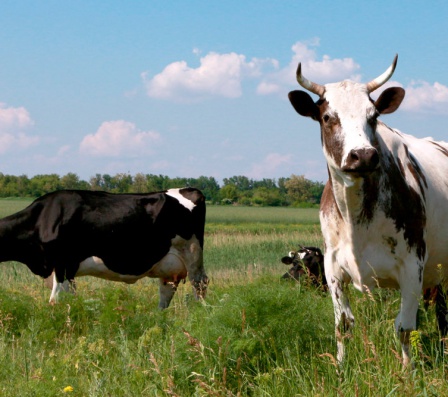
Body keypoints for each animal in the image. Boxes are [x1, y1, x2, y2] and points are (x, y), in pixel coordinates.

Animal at [0, 187, 207, 308]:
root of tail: (190, 189)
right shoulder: (60, 270)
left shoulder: (62, 265)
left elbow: (54, 301)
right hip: (169, 266)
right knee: (166, 292)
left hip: (192, 253)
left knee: (200, 284)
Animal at [288, 55, 448, 366]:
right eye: (328, 117)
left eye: (373, 116)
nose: (362, 155)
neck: (356, 219)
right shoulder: (332, 267)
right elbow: (343, 324)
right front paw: (340, 367)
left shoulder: (413, 266)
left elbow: (404, 328)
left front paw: (407, 371)